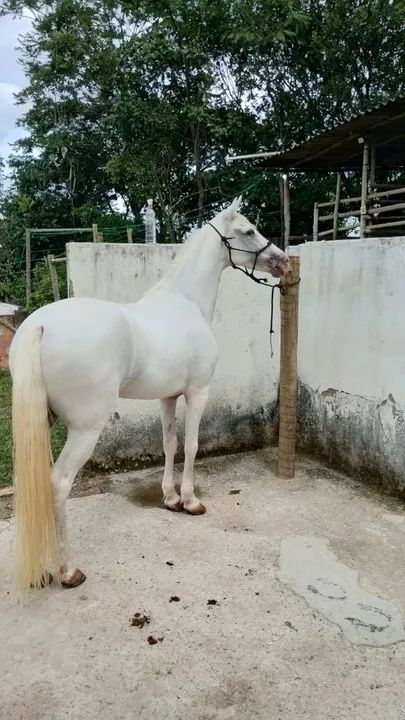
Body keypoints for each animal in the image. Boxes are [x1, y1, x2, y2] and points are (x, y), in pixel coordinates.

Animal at [10, 197, 289, 593]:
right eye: (249, 231)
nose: (283, 262)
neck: (186, 303)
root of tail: (39, 325)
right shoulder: (197, 392)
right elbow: (192, 445)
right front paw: (190, 501)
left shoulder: (168, 397)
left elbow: (170, 444)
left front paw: (170, 497)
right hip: (85, 430)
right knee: (59, 484)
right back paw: (68, 571)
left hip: (42, 422)